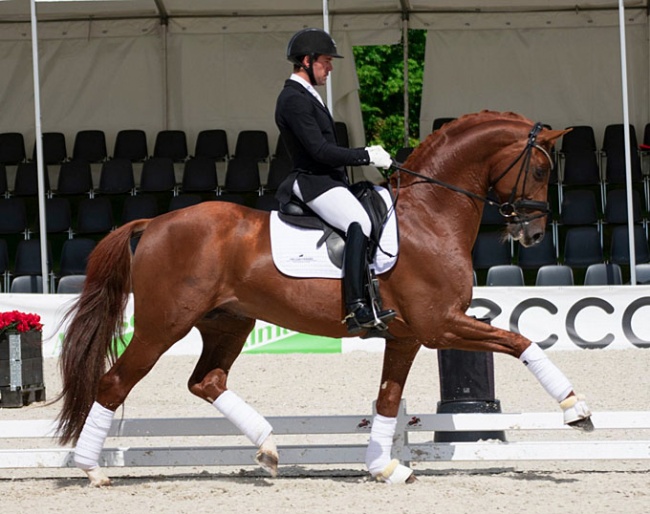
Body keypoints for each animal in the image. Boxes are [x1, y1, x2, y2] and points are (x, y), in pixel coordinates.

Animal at [58, 112, 588, 484]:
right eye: (540, 169)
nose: (532, 233)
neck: (429, 216)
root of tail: (153, 223)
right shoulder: (440, 325)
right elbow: (521, 343)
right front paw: (576, 409)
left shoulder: (408, 335)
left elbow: (387, 400)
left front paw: (384, 467)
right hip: (163, 325)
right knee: (114, 384)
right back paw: (92, 469)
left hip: (227, 322)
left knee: (206, 381)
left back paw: (268, 447)